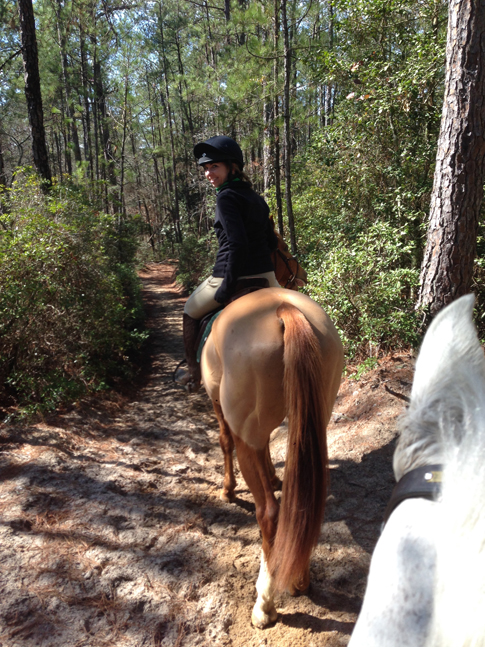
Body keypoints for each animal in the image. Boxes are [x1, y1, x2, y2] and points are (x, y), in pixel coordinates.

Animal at [199, 288, 342, 628]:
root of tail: (284, 308)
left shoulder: (219, 408)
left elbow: (224, 441)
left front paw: (228, 490)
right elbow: (267, 451)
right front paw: (275, 477)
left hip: (245, 430)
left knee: (270, 513)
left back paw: (264, 604)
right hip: (311, 420)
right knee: (303, 503)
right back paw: (299, 579)